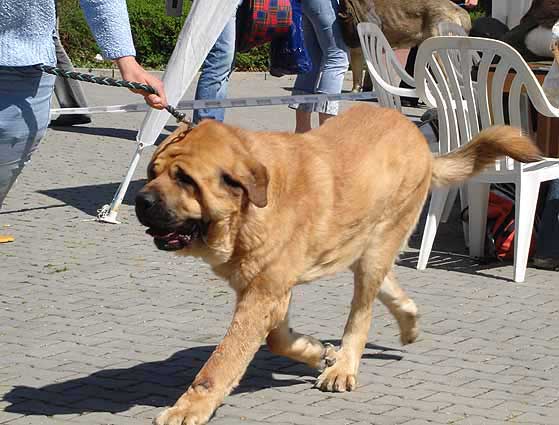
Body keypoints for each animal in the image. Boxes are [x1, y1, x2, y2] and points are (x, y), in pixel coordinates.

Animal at [136, 103, 544, 424]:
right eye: (153, 172)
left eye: (185, 179)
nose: (141, 200)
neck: (248, 208)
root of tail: (418, 138)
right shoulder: (269, 290)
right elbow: (278, 339)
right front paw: (316, 350)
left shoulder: (263, 295)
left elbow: (221, 363)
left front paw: (189, 407)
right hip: (361, 244)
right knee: (387, 285)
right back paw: (406, 321)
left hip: (377, 244)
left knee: (361, 313)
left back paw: (346, 366)